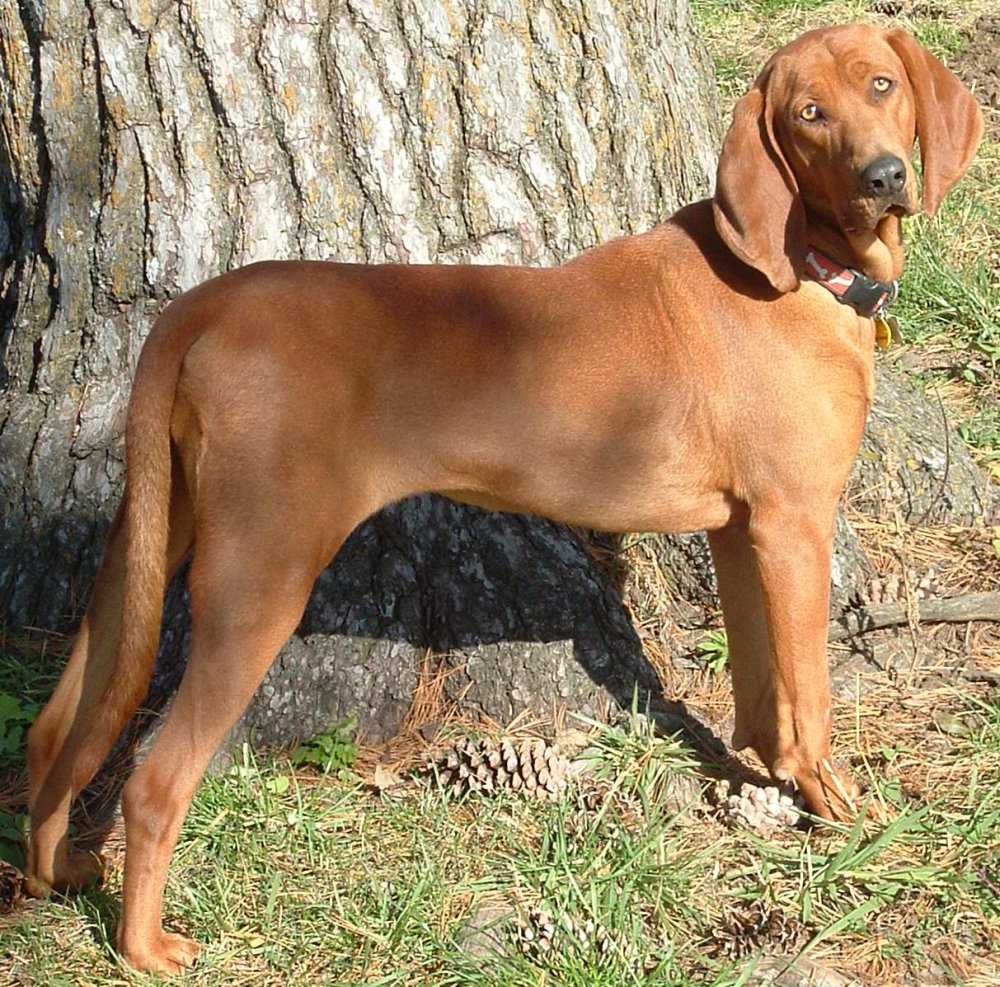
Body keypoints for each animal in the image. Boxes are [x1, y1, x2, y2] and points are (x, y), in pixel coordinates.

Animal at [27, 21, 980, 972]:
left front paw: (765, 779)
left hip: (149, 542)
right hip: (258, 575)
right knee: (153, 780)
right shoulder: (794, 524)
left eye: (883, 84)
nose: (884, 176)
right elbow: (808, 696)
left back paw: (56, 867)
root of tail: (205, 303)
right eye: (808, 114)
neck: (806, 266)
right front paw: (837, 805)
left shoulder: (739, 530)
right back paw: (144, 945)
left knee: (56, 725)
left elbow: (757, 685)